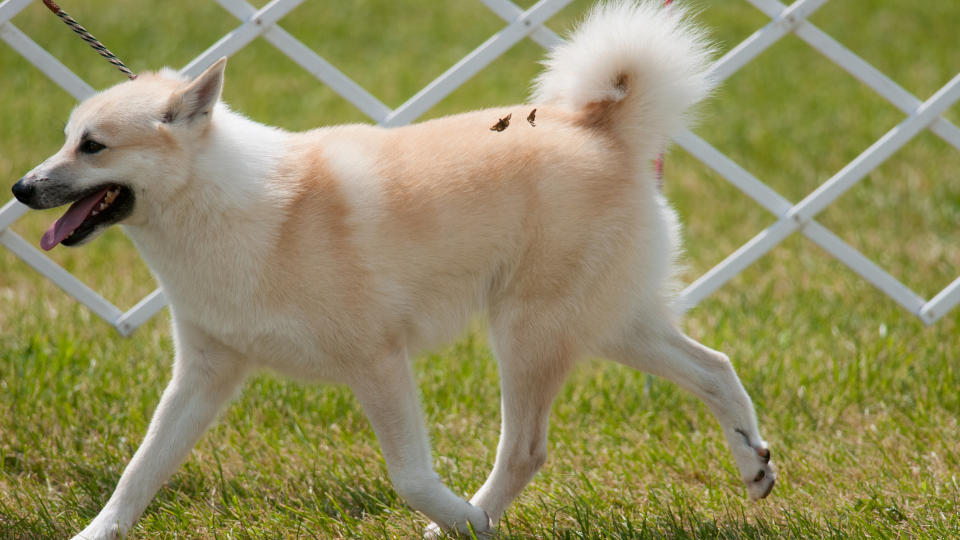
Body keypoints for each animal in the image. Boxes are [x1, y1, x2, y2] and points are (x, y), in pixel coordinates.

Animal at [13, 2, 772, 536]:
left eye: (94, 146)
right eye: (65, 137)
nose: (20, 189)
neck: (225, 206)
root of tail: (602, 126)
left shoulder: (377, 361)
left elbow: (409, 476)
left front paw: (460, 521)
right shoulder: (205, 373)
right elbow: (138, 475)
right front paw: (93, 534)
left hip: (529, 334)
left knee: (526, 449)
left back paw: (470, 520)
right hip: (609, 326)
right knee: (716, 367)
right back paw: (755, 463)